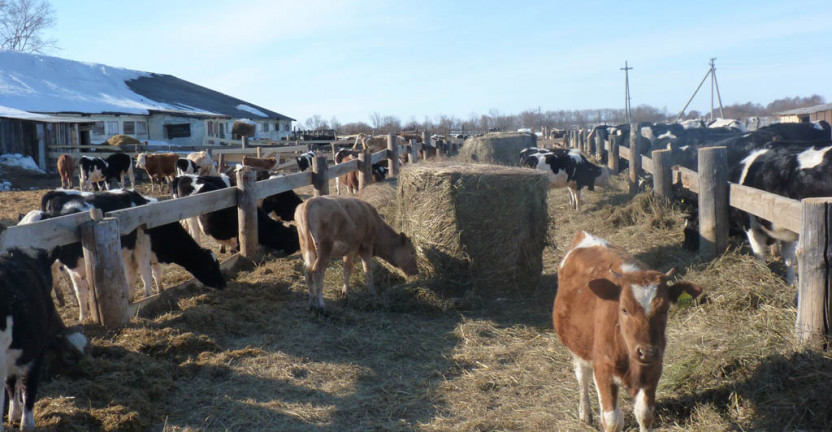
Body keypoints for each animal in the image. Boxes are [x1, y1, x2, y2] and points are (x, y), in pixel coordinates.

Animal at [0, 246, 89, 428]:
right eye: (69, 356)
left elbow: (12, 383)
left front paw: (14, 414)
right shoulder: (35, 352)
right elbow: (29, 387)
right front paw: (25, 422)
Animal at [552, 231, 704, 430]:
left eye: (665, 309)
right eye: (624, 309)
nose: (647, 352)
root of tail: (584, 235)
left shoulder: (653, 370)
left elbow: (645, 415)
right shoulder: (603, 371)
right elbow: (612, 421)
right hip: (576, 346)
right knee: (581, 376)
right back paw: (585, 413)